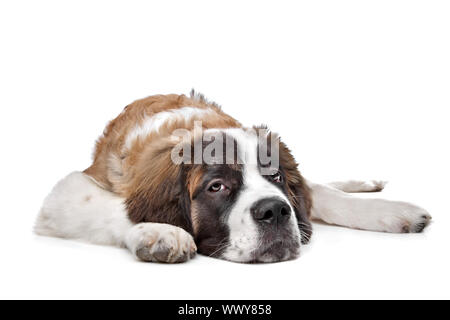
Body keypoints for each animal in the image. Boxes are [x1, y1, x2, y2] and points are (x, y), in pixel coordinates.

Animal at [34, 90, 428, 262]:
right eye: (217, 187)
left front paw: (392, 210)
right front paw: (159, 232)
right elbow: (116, 208)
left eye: (276, 177)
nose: (276, 211)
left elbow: (322, 196)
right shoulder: (68, 192)